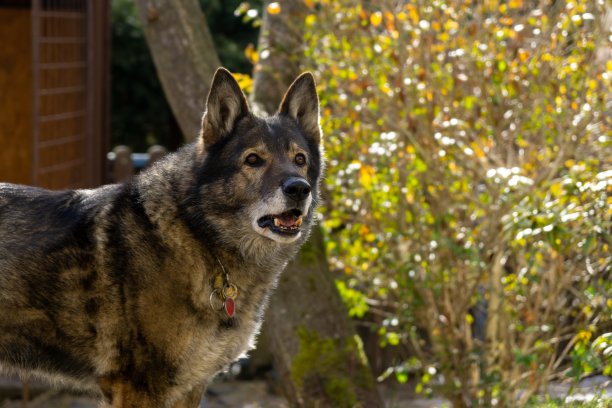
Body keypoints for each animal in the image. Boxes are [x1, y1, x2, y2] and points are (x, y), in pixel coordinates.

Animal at [0, 68, 322, 406]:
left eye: (299, 159)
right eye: (253, 160)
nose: (299, 189)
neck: (199, 236)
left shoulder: (189, 386)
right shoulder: (139, 387)